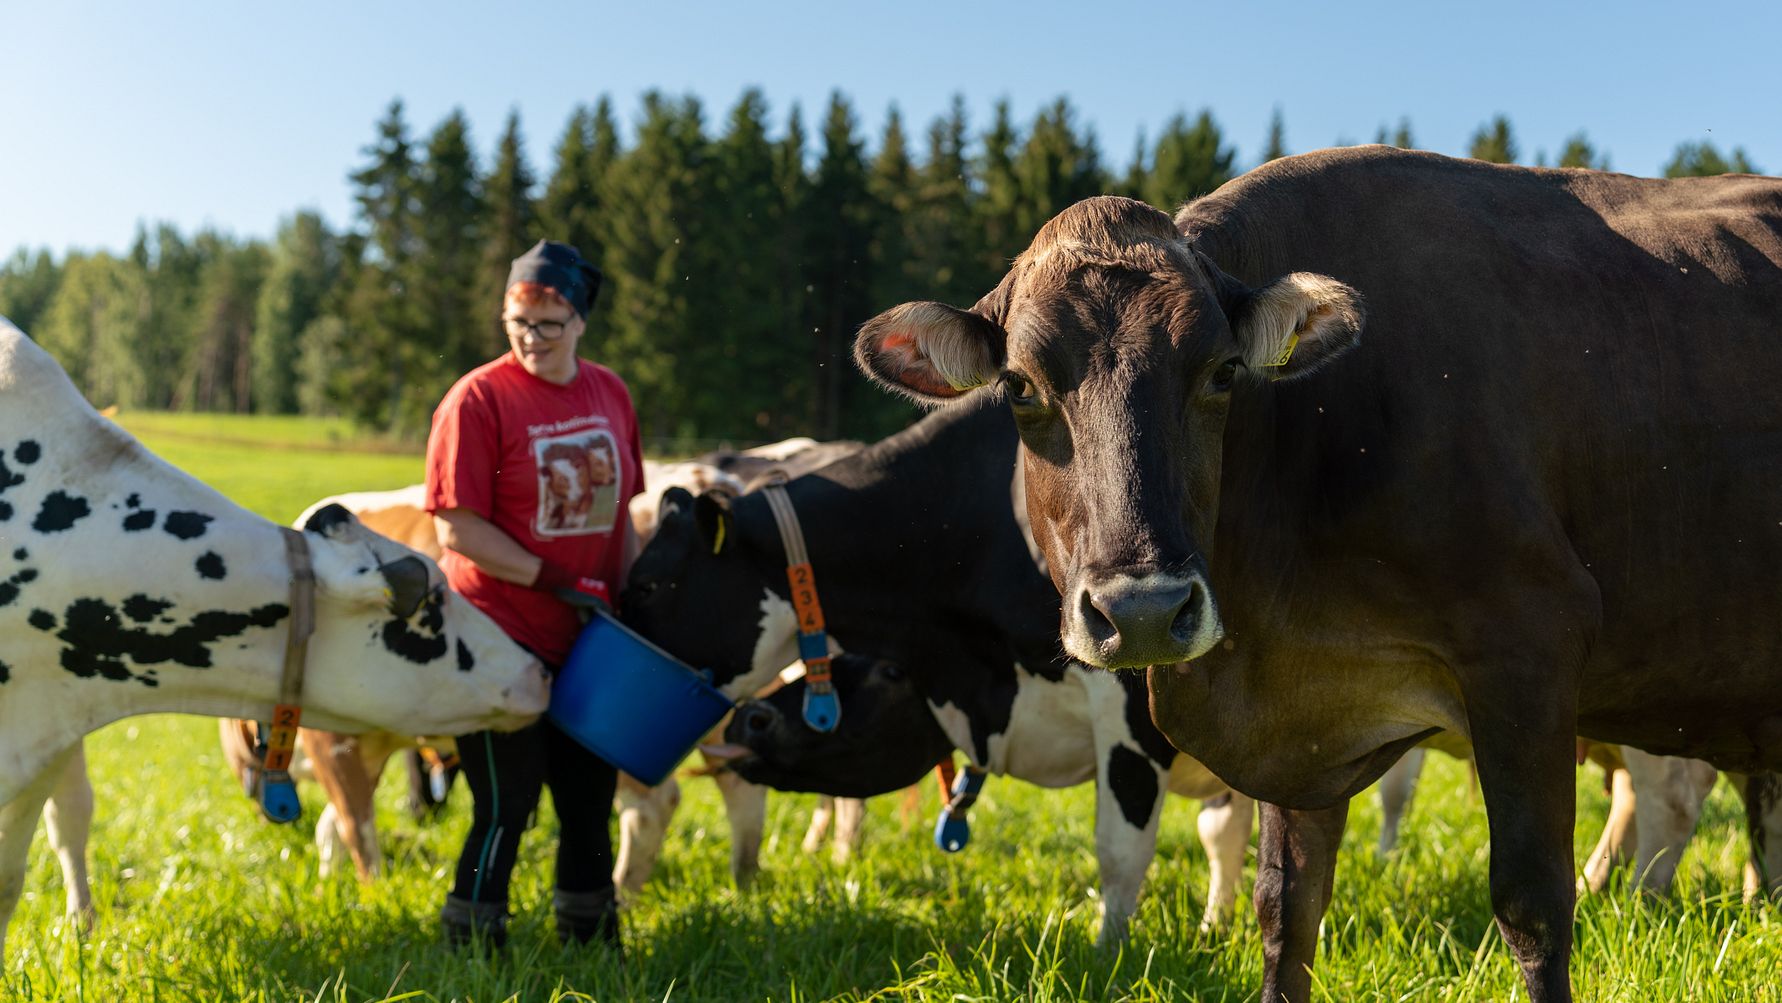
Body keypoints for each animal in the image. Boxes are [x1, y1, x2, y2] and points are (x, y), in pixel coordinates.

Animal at [627, 399, 1254, 940]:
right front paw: (1211, 930)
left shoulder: (1130, 702)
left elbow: (1123, 848)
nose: (749, 719)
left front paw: (1111, 953)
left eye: (647, 584)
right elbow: (1220, 833)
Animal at [848, 143, 1782, 1003]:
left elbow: (1533, 905)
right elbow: (1285, 910)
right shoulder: (1302, 713)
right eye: (1018, 386)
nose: (1144, 610)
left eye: (1222, 371)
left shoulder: (1528, 649)